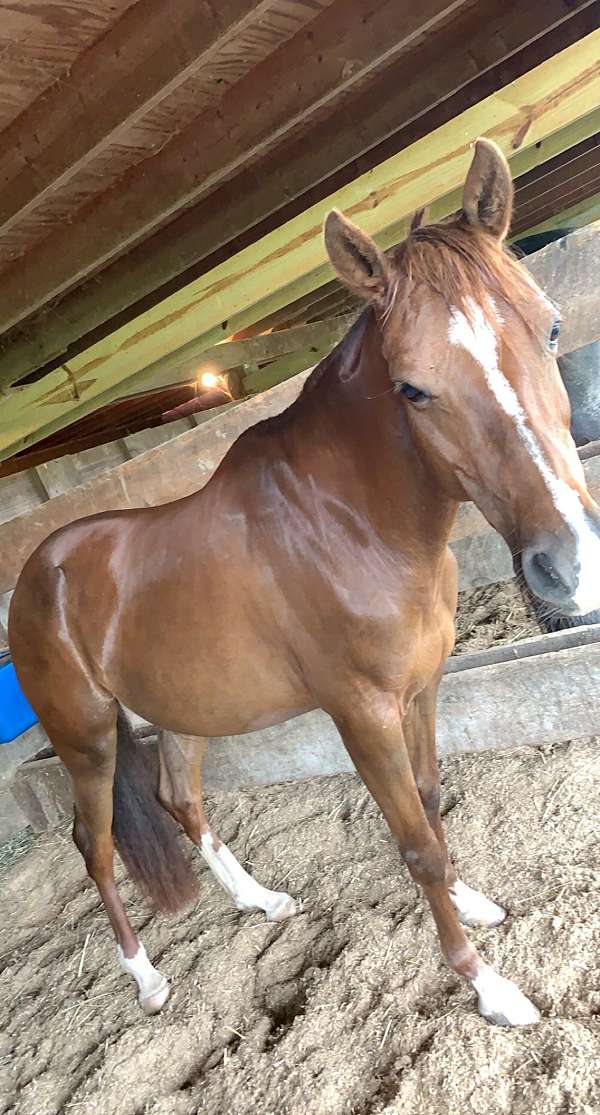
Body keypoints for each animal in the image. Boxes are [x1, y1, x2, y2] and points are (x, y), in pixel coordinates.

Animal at [9, 139, 600, 1028]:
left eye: (551, 326)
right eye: (411, 388)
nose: (572, 564)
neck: (350, 522)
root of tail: (32, 580)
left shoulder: (422, 688)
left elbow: (432, 801)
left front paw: (476, 899)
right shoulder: (360, 713)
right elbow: (415, 845)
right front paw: (487, 984)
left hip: (180, 710)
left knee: (182, 800)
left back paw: (261, 901)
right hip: (87, 741)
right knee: (97, 846)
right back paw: (146, 977)